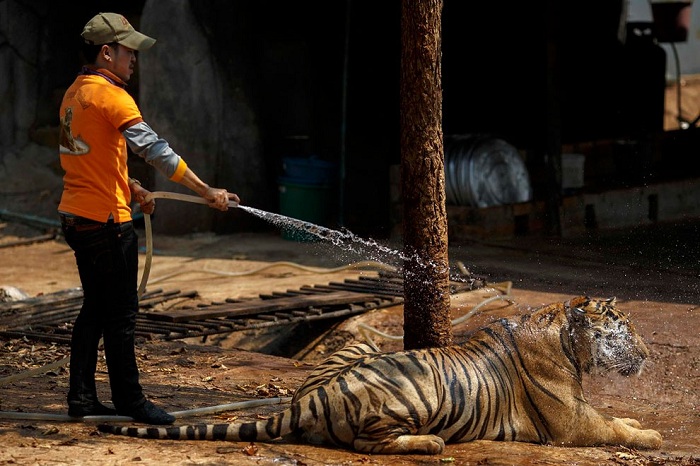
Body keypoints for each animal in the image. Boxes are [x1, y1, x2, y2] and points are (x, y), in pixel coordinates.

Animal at [97, 296, 660, 454]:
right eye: (626, 328)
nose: (650, 354)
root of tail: (307, 401)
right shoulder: (571, 424)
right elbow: (614, 427)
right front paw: (652, 435)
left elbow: (617, 419)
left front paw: (640, 425)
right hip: (418, 392)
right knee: (369, 444)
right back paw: (428, 443)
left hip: (362, 346)